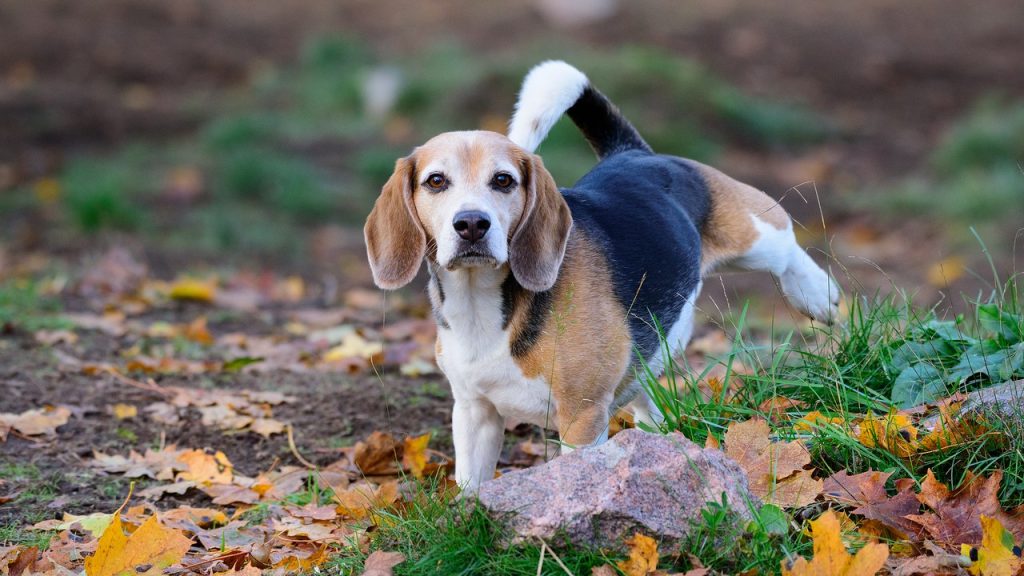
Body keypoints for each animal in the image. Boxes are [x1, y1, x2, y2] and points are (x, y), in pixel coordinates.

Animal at [364, 60, 835, 487]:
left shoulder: (582, 415)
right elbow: (471, 485)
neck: (483, 302)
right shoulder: (474, 412)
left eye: (503, 180)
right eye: (436, 181)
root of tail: (634, 154)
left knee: (785, 243)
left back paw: (817, 294)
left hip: (753, 236)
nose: (472, 224)